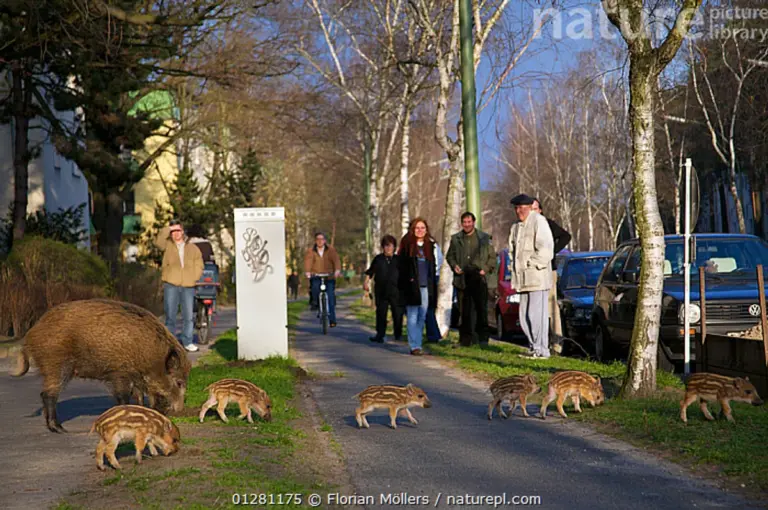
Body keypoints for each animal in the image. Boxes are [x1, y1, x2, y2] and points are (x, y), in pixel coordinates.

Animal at [11, 299, 191, 433]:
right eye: (179, 382)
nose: (180, 410)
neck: (150, 357)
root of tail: (30, 335)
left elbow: (138, 397)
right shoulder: (120, 372)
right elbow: (124, 397)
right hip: (56, 365)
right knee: (48, 394)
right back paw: (59, 429)